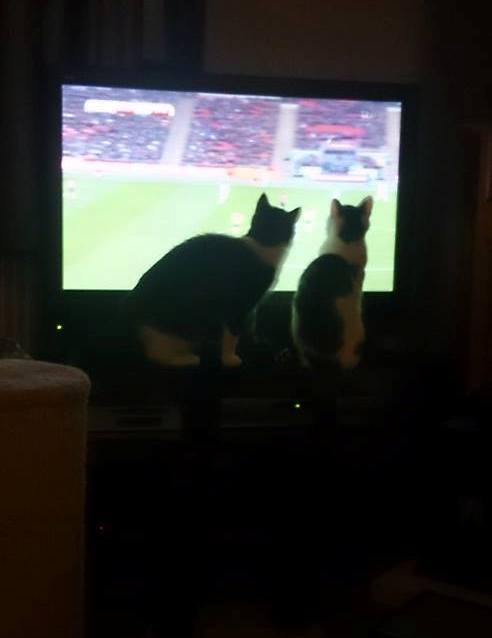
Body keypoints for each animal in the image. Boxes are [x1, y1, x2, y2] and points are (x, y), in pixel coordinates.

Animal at [125, 193, 300, 367]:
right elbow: (232, 334)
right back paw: (187, 358)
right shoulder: (238, 304)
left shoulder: (252, 308)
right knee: (156, 353)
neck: (264, 241)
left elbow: (249, 328)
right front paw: (230, 358)